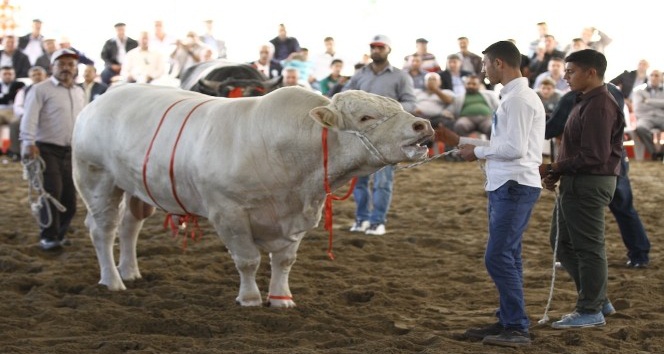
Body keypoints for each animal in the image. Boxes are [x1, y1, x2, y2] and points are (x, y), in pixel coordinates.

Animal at [74, 83, 436, 306]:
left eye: (397, 105)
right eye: (365, 116)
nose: (422, 125)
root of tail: (98, 101)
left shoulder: (298, 216)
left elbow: (284, 261)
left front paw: (281, 298)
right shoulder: (228, 213)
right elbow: (248, 260)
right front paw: (249, 298)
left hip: (135, 187)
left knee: (129, 226)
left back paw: (130, 271)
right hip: (96, 178)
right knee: (103, 230)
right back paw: (112, 280)